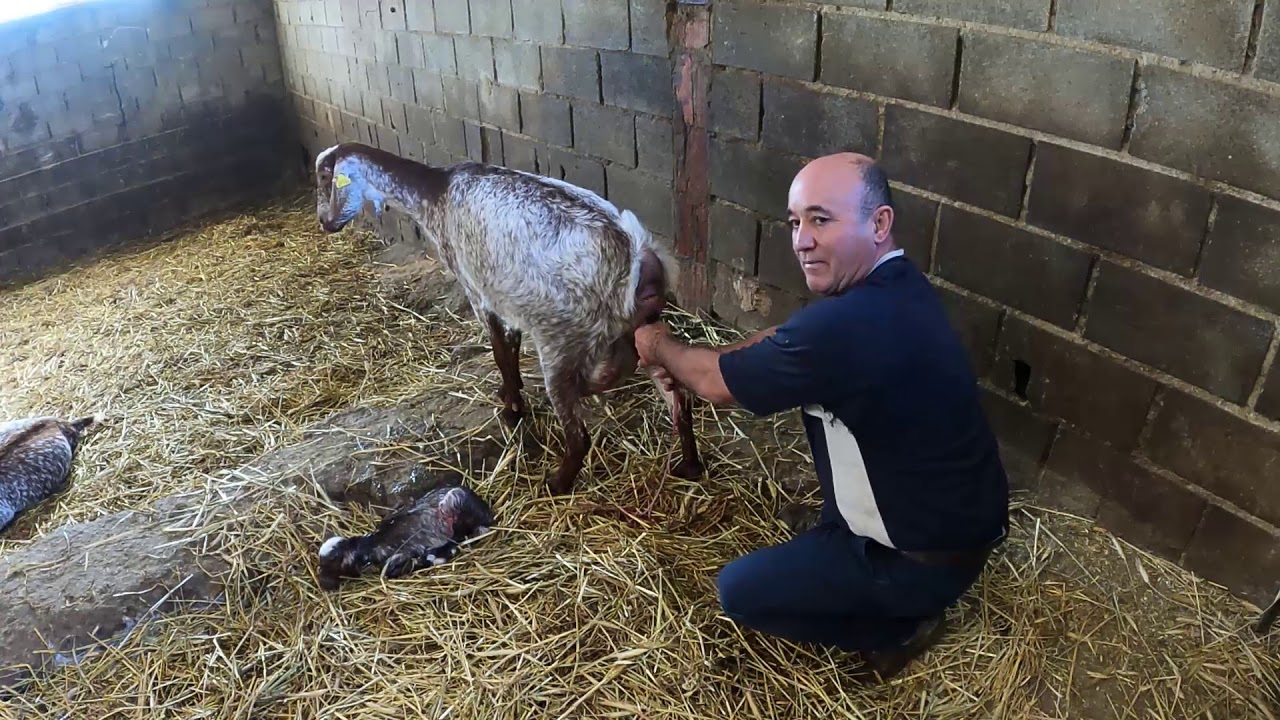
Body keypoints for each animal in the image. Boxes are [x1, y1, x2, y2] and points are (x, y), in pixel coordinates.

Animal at [312, 142, 705, 495]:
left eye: (325, 177)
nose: (325, 222)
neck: (436, 194)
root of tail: (635, 253)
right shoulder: (509, 299)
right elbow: (512, 347)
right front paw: (509, 392)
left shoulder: (477, 290)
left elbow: (500, 351)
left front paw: (513, 410)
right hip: (642, 332)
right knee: (678, 401)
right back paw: (689, 466)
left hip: (560, 342)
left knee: (579, 435)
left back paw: (555, 485)